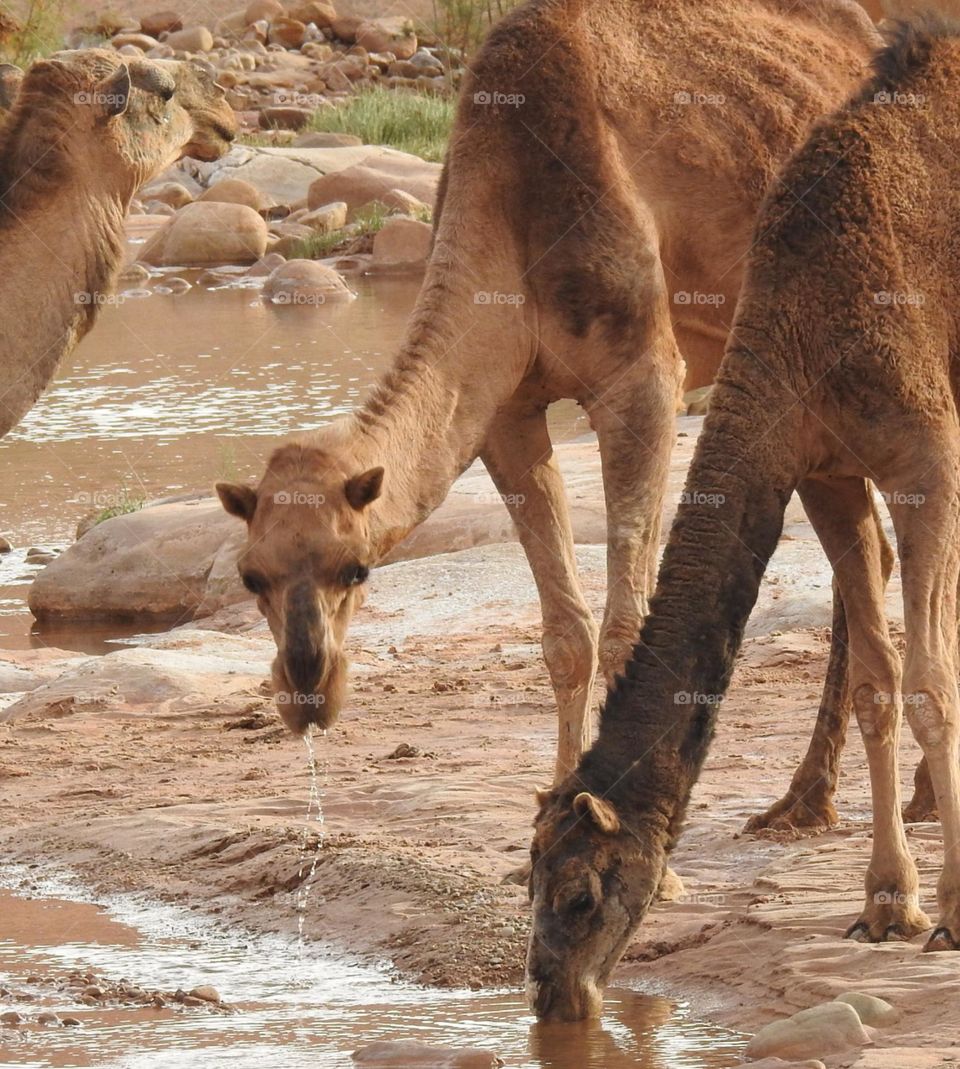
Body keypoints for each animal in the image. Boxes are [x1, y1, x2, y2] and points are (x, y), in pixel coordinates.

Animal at [214, 2, 876, 786]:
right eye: (250, 575)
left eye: (358, 565)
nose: (308, 691)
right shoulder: (503, 409)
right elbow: (565, 633)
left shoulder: (641, 376)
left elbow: (626, 627)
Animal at [528, 14, 960, 1017]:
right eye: (526, 878)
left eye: (582, 892)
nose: (551, 996)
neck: (800, 316)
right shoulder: (827, 472)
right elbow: (881, 680)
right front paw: (888, 902)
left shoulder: (927, 454)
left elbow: (932, 682)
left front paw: (953, 912)